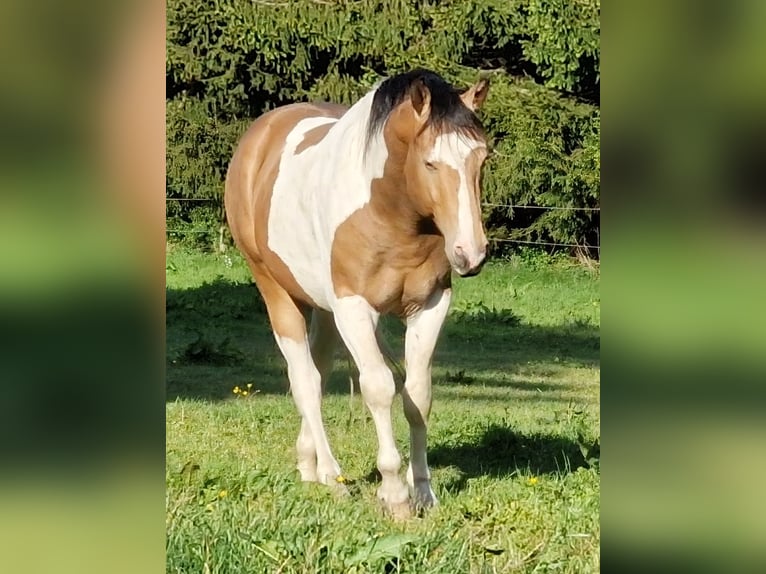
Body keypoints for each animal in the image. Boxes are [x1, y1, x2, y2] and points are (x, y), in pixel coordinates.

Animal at [224, 69, 490, 518]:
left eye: (482, 159)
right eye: (430, 162)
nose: (470, 254)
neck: (390, 211)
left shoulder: (431, 305)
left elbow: (418, 393)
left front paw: (424, 492)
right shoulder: (354, 307)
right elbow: (379, 388)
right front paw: (395, 494)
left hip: (325, 310)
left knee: (319, 371)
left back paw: (309, 466)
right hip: (278, 292)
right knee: (305, 382)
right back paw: (333, 478)